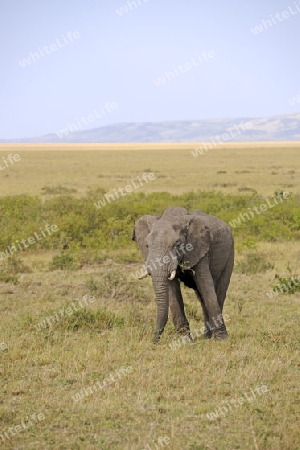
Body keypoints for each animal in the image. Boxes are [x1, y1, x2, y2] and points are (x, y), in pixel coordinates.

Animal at [133, 206, 234, 342]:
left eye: (177, 245)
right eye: (147, 245)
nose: (153, 341)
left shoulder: (199, 248)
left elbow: (206, 285)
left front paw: (222, 340)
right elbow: (172, 290)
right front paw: (185, 341)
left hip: (230, 252)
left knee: (219, 292)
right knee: (201, 297)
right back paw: (206, 337)